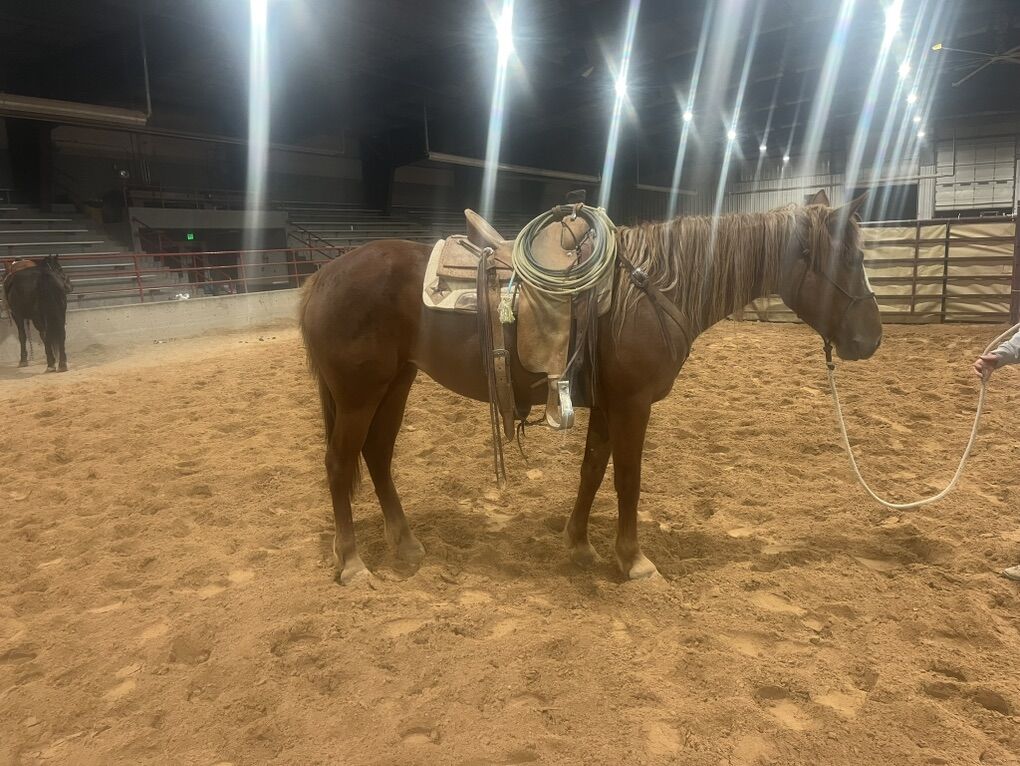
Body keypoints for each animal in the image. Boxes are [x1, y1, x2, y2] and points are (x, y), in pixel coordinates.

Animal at [299, 190, 882, 583]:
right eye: (852, 259)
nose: (871, 337)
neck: (650, 290)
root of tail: (323, 276)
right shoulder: (632, 404)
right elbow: (627, 479)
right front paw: (635, 560)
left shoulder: (606, 404)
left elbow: (593, 470)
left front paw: (579, 546)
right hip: (358, 393)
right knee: (340, 463)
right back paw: (352, 563)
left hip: (395, 383)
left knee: (376, 455)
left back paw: (406, 543)